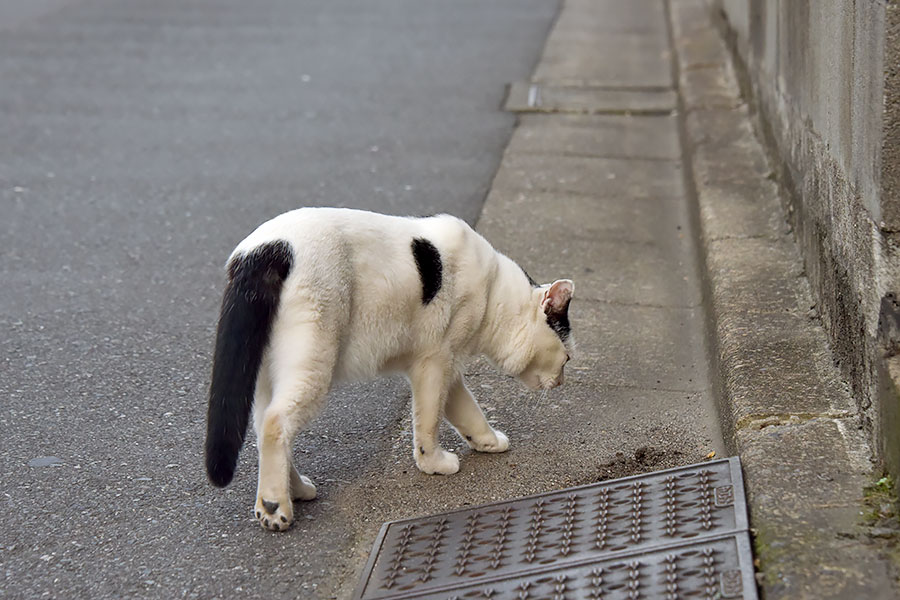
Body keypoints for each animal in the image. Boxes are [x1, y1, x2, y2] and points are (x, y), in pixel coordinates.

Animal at [204, 206, 572, 528]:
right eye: (566, 358)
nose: (562, 381)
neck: (494, 293)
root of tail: (262, 249)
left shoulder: (448, 365)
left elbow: (467, 411)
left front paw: (487, 441)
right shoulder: (434, 362)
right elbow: (428, 420)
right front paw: (432, 463)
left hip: (269, 374)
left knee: (264, 422)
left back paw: (296, 489)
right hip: (313, 361)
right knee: (275, 422)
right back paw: (273, 506)